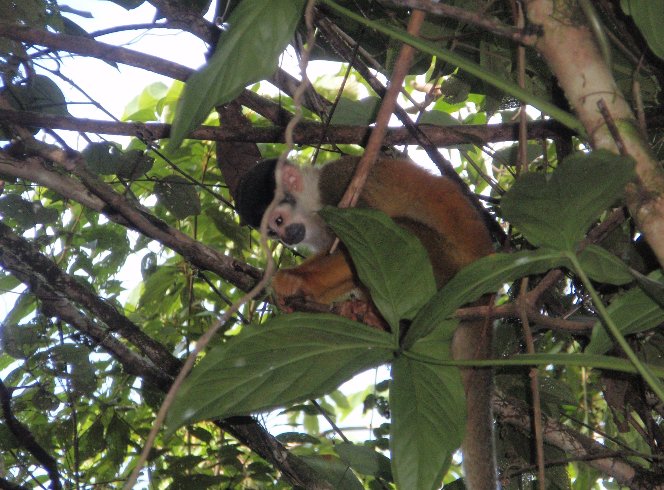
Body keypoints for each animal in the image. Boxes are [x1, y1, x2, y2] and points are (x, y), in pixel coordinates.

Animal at [236, 155, 496, 488]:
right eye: (271, 232)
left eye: (278, 222)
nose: (285, 238)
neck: (313, 200)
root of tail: (487, 298)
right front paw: (301, 291)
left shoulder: (339, 189)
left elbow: (361, 241)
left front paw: (293, 280)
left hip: (447, 273)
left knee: (396, 231)